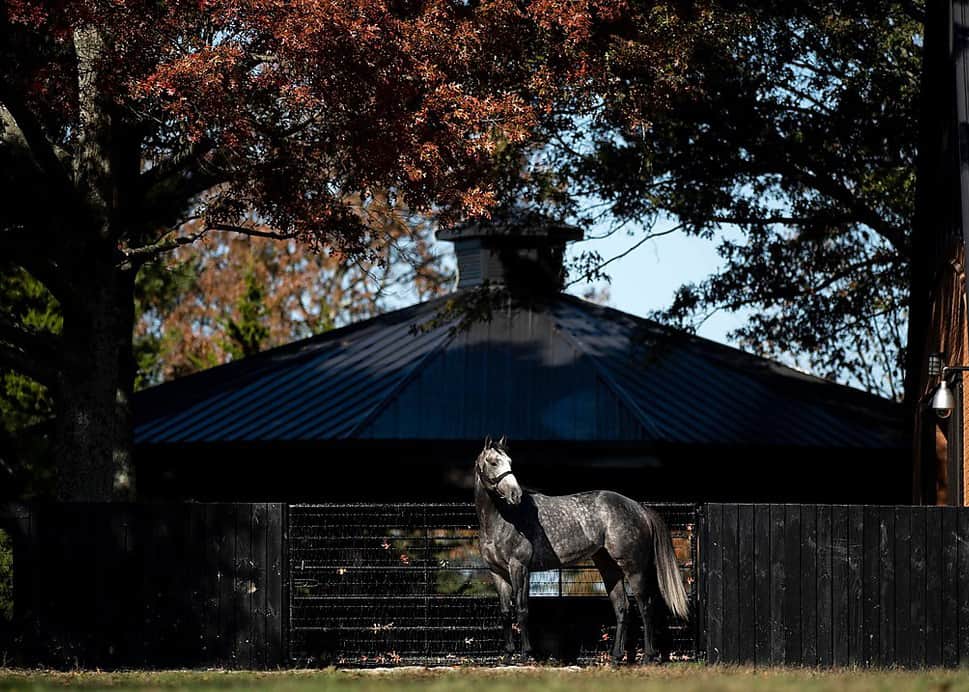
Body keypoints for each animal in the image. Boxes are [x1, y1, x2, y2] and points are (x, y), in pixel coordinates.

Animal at [474, 436, 688, 664]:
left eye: (510, 462)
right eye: (493, 462)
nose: (516, 494)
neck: (504, 519)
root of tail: (639, 508)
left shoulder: (519, 568)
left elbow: (522, 610)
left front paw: (525, 655)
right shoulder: (498, 573)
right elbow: (506, 612)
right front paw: (507, 656)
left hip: (634, 569)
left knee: (645, 607)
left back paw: (648, 656)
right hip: (609, 568)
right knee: (622, 608)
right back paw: (616, 658)